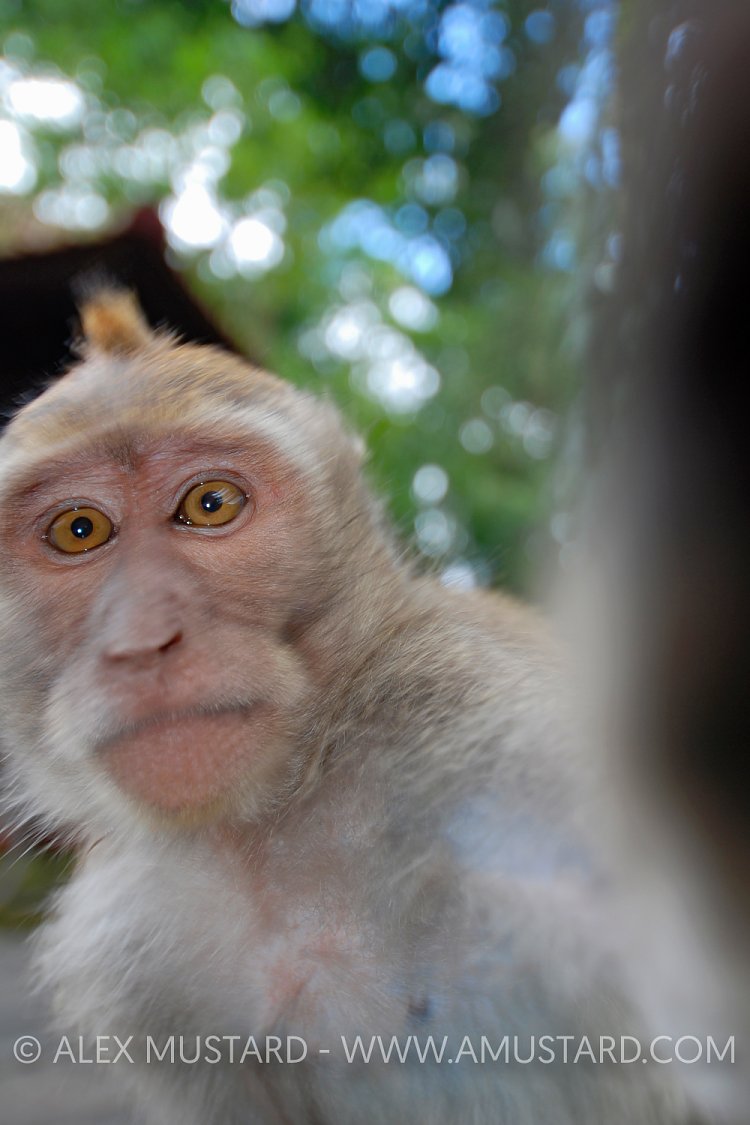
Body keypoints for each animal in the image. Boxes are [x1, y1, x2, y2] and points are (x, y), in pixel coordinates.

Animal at [0, 290, 692, 1125]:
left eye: (210, 504)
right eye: (80, 529)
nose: (142, 640)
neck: (286, 817)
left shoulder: (509, 747)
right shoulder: (133, 952)